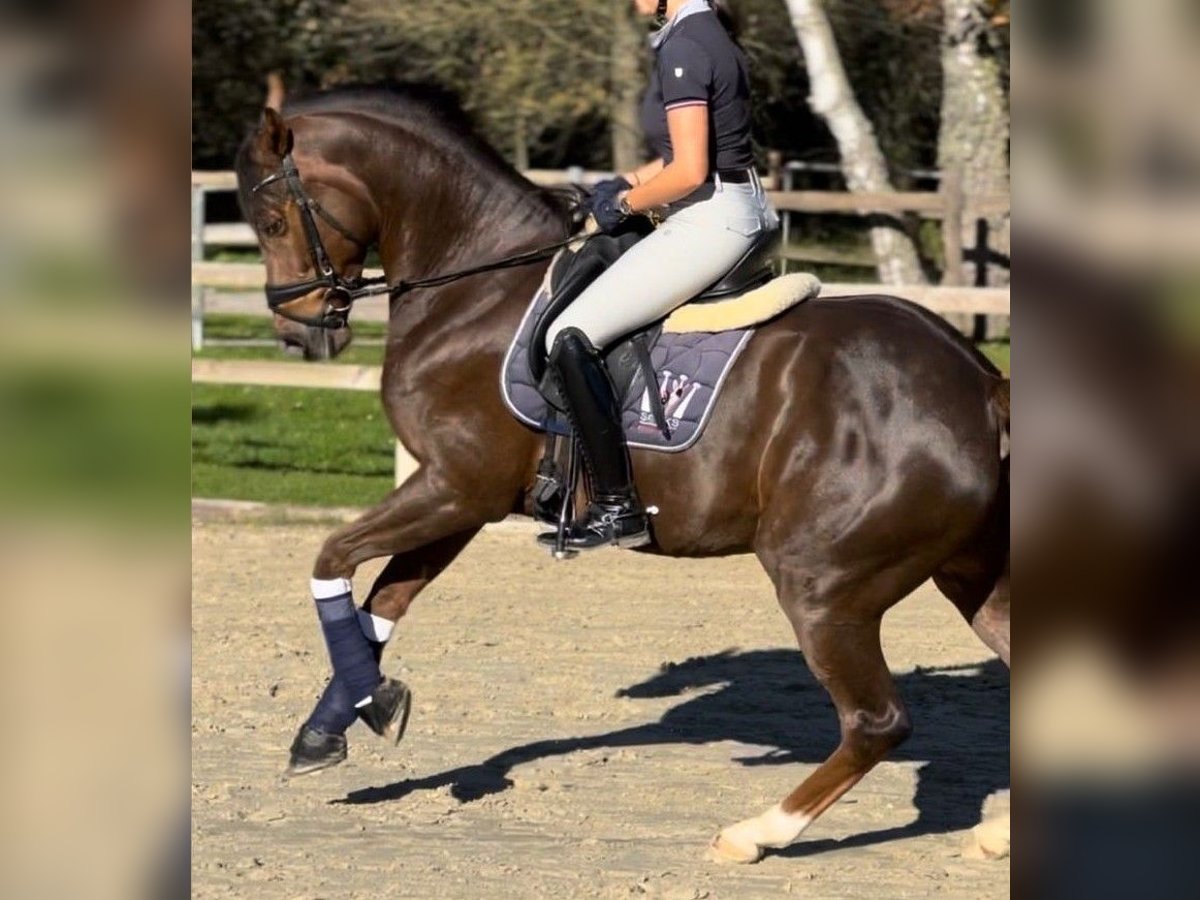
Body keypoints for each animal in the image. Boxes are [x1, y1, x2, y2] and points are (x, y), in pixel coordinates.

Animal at [234, 85, 1010, 864]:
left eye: (271, 221)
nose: (300, 334)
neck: (478, 288)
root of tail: (979, 383)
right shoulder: (463, 500)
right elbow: (383, 603)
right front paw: (331, 727)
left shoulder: (455, 486)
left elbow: (332, 558)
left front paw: (374, 703)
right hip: (970, 574)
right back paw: (1000, 832)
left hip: (823, 586)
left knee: (877, 722)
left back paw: (752, 835)